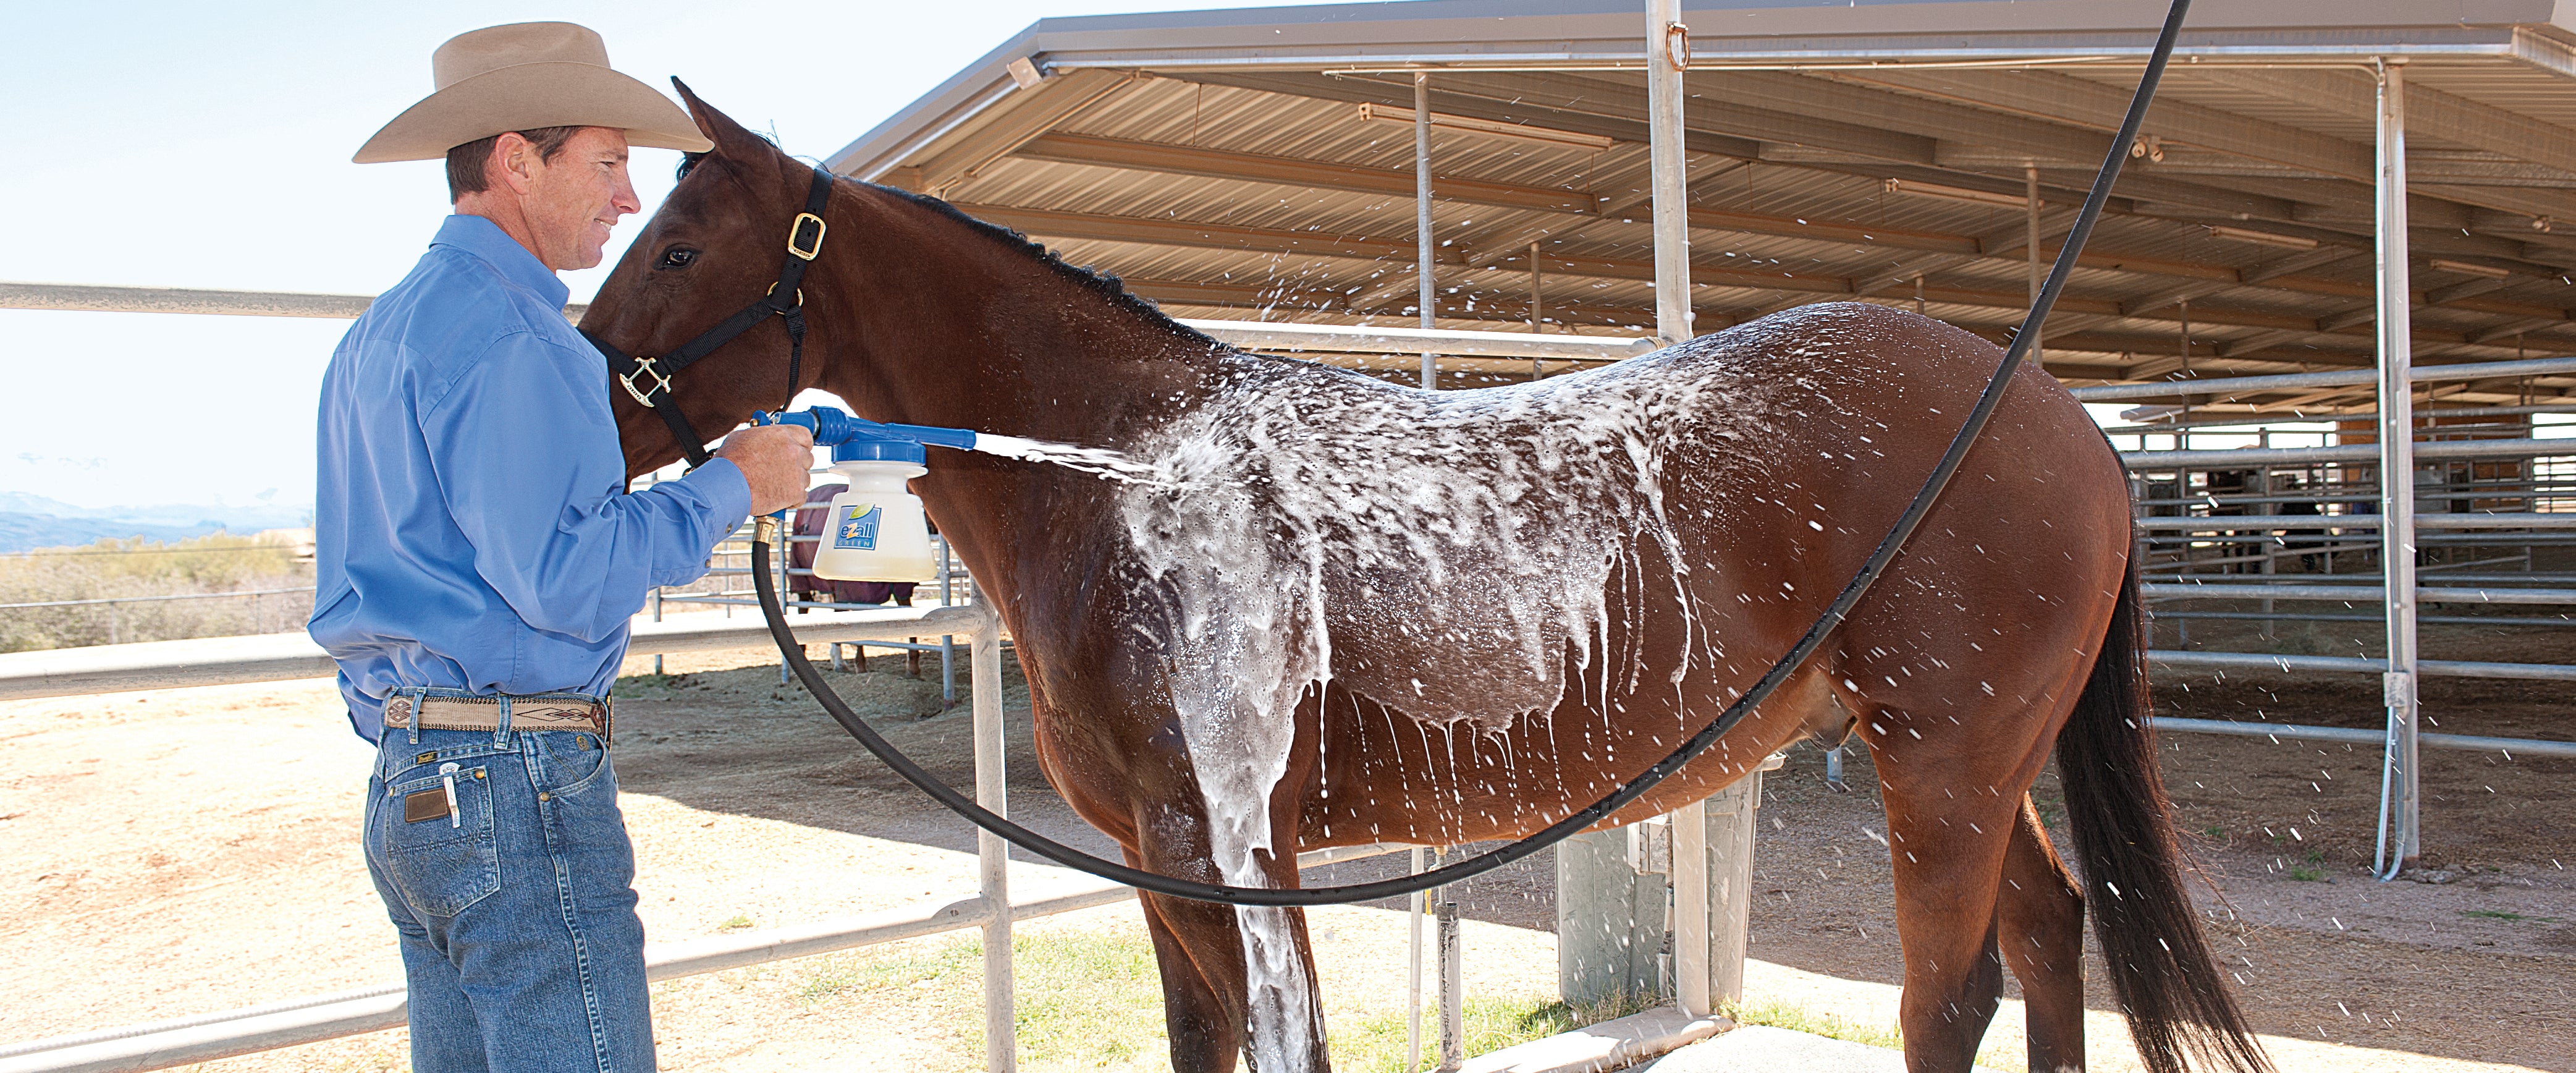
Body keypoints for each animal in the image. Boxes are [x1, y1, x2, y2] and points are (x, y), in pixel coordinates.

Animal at [579, 87, 2271, 1073]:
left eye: (678, 249)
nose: (576, 393)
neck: (1132, 469)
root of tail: (2060, 419)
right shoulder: (1157, 866)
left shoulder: (1232, 851)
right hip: (1973, 764)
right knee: (2048, 940)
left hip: (1946, 767)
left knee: (1952, 993)